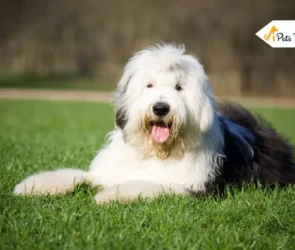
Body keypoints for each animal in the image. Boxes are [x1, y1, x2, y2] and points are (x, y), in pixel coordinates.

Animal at [14, 44, 295, 203]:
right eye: (149, 85)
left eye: (179, 87)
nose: (160, 108)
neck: (157, 152)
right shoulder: (109, 170)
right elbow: (77, 175)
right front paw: (32, 186)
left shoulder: (191, 187)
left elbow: (146, 185)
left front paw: (107, 196)